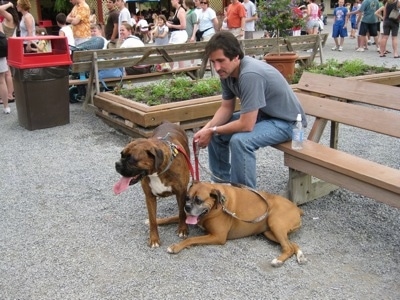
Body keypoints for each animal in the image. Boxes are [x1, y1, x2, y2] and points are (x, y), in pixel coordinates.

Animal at [167, 180, 308, 268]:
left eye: (199, 201)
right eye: (187, 198)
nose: (186, 207)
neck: (218, 204)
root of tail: (297, 208)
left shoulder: (218, 237)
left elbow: (191, 239)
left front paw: (175, 247)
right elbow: (168, 219)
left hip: (275, 224)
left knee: (288, 247)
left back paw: (278, 261)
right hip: (270, 232)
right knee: (292, 244)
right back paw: (300, 256)